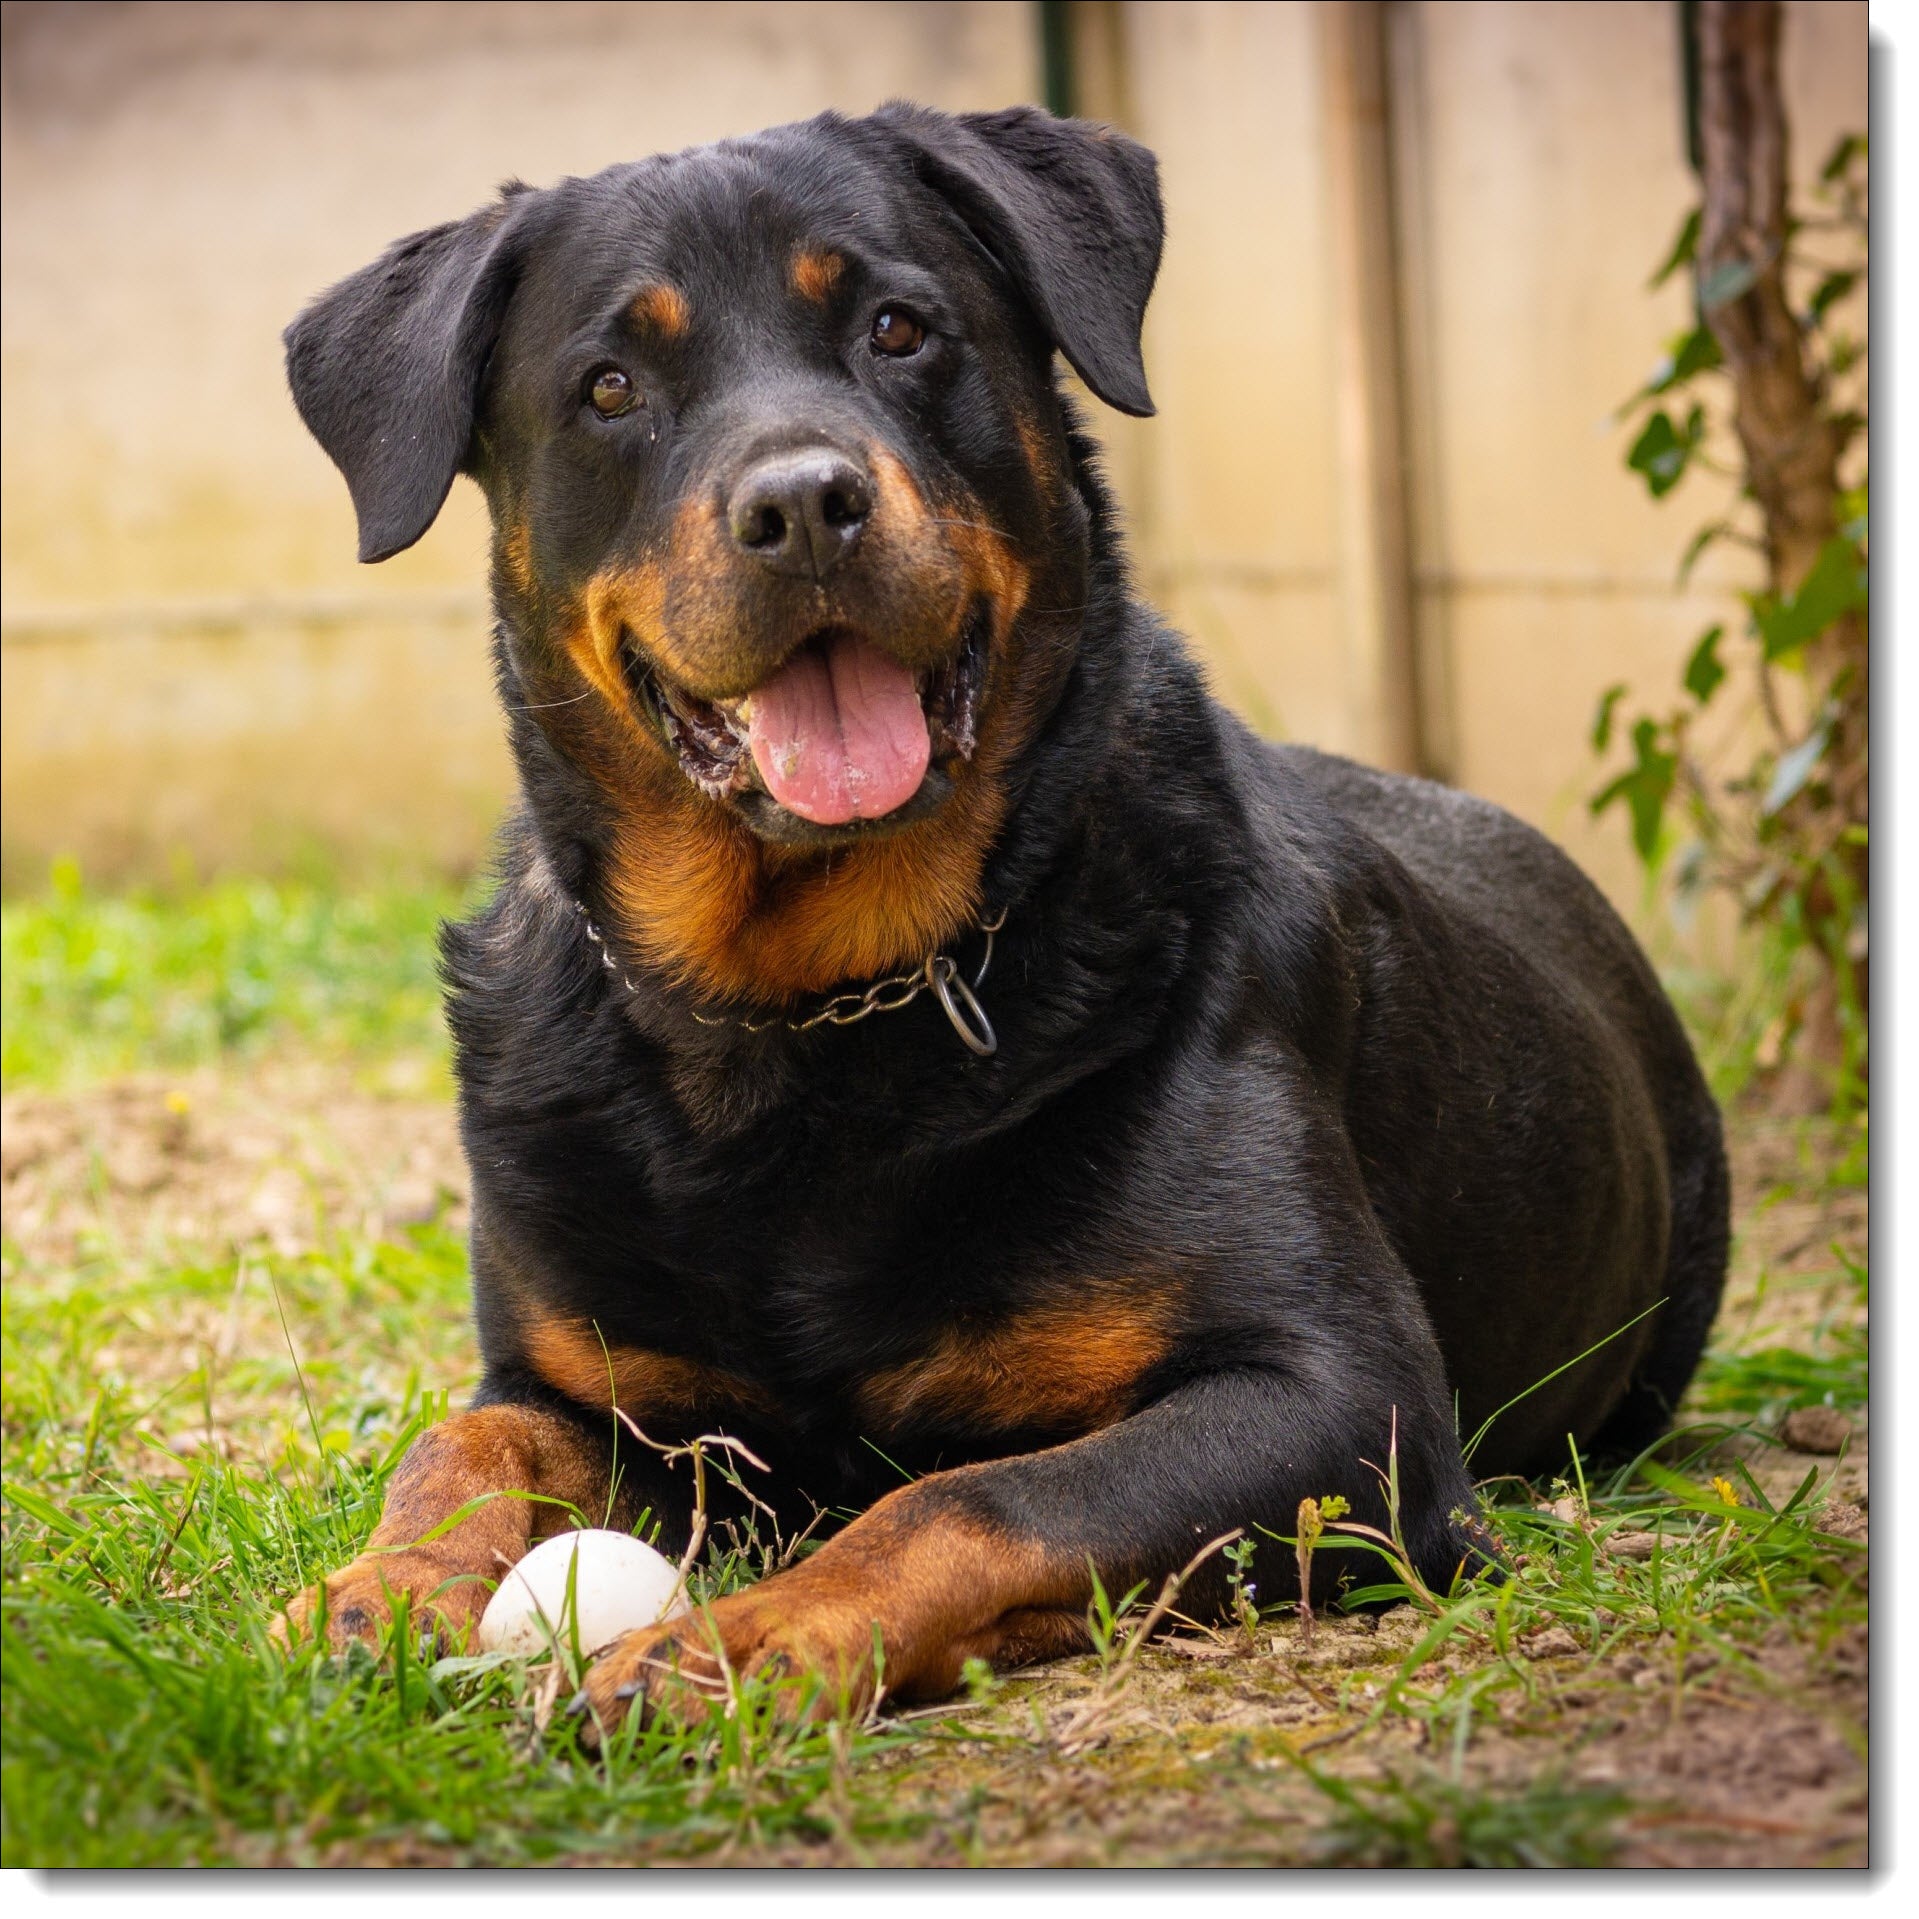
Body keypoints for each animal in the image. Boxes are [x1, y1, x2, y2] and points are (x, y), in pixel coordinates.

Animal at [279, 104, 1728, 1728]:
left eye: (898, 327)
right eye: (608, 386)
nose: (802, 503)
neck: (805, 1010)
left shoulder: (1339, 1398)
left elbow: (968, 1495)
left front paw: (745, 1636)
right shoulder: (597, 1391)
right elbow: (461, 1439)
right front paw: (375, 1589)